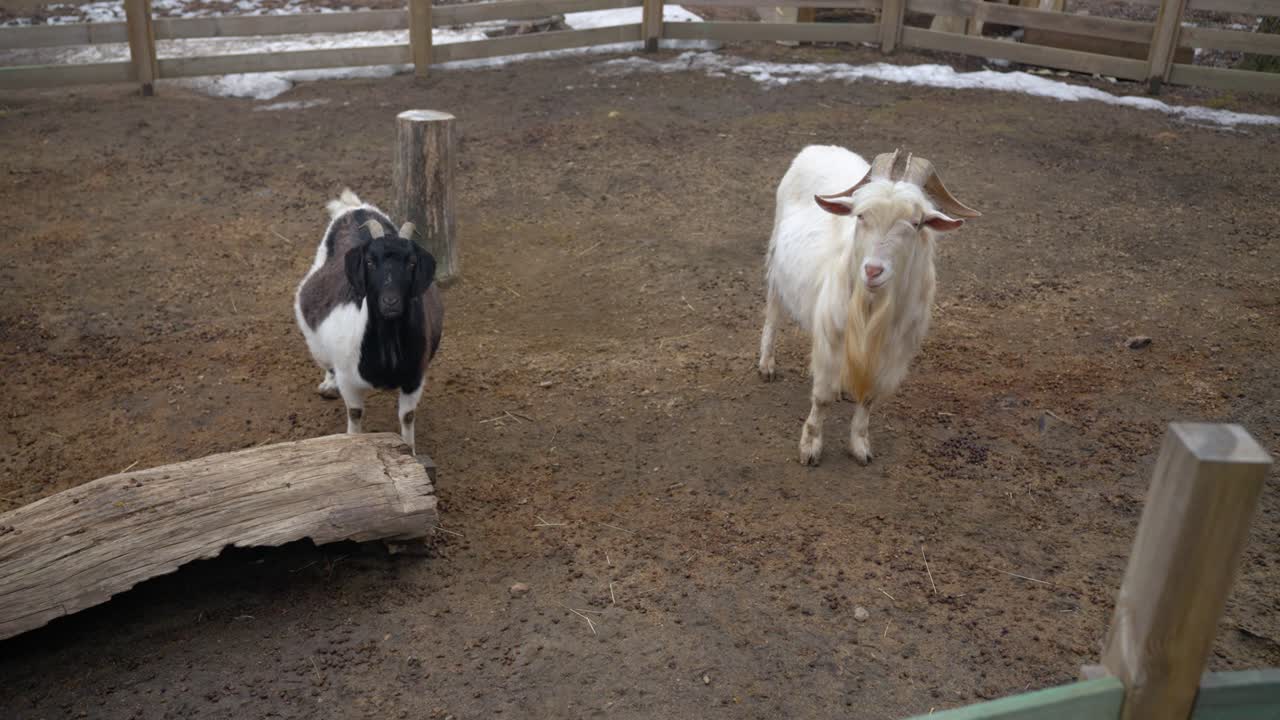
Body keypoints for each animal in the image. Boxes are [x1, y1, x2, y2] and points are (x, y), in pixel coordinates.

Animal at [294, 189, 444, 456]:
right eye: (370, 261)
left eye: (412, 262)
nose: (390, 302)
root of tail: (355, 209)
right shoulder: (348, 379)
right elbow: (355, 413)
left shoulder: (414, 378)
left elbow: (407, 416)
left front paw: (409, 452)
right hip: (314, 337)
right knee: (325, 361)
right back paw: (328, 385)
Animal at [758, 146, 980, 466]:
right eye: (860, 216)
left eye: (916, 223)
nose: (873, 271)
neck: (873, 305)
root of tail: (817, 149)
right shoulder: (832, 335)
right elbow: (821, 396)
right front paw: (810, 447)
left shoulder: (892, 352)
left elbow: (870, 398)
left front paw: (860, 446)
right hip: (777, 261)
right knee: (773, 313)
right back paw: (766, 365)